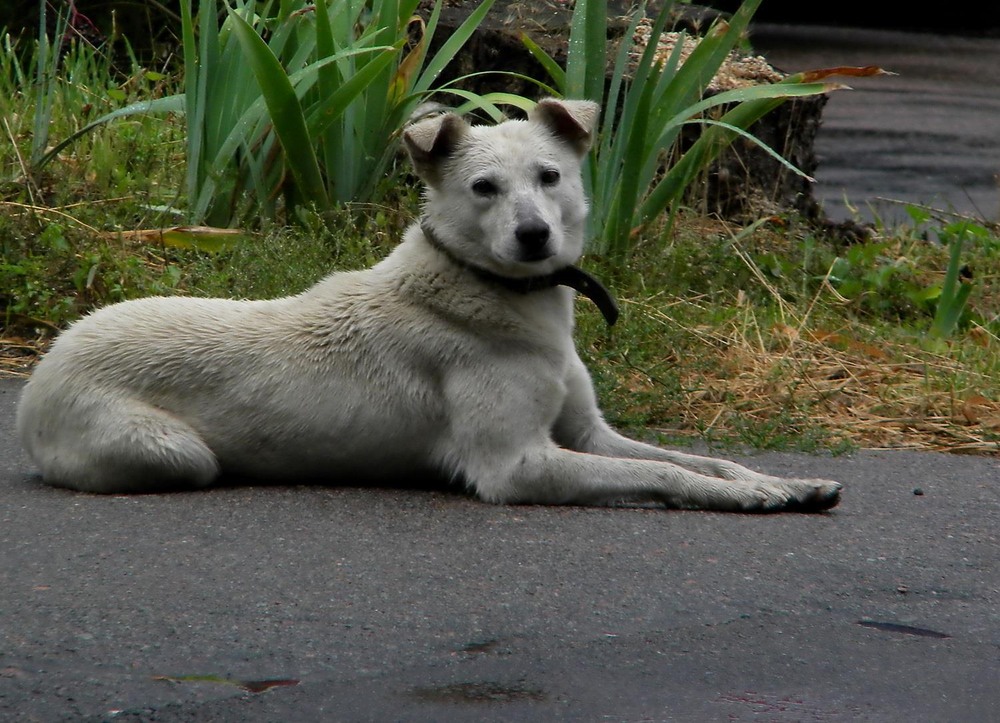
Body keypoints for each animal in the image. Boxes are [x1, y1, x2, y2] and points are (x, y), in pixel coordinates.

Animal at [17, 99, 844, 512]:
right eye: (483, 188)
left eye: (549, 176)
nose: (535, 235)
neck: (497, 293)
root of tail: (43, 369)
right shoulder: (518, 467)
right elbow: (670, 478)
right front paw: (743, 496)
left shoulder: (590, 434)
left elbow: (694, 458)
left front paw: (776, 481)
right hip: (176, 453)